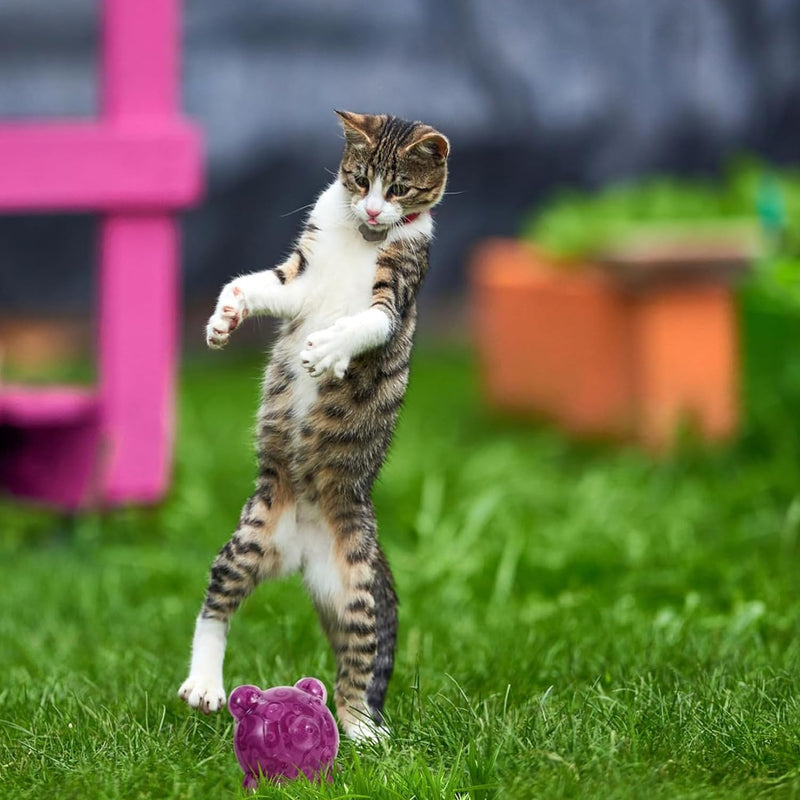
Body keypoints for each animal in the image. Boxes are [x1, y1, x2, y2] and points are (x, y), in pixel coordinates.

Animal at [178, 111, 450, 736]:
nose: (372, 211)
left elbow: (372, 322)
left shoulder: (399, 285)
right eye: (359, 178)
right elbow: (256, 284)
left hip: (357, 584)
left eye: (400, 189)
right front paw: (223, 316)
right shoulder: (300, 276)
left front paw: (328, 349)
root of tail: (300, 552)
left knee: (361, 655)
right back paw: (204, 685)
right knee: (216, 607)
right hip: (249, 539)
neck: (360, 240)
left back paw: (363, 731)